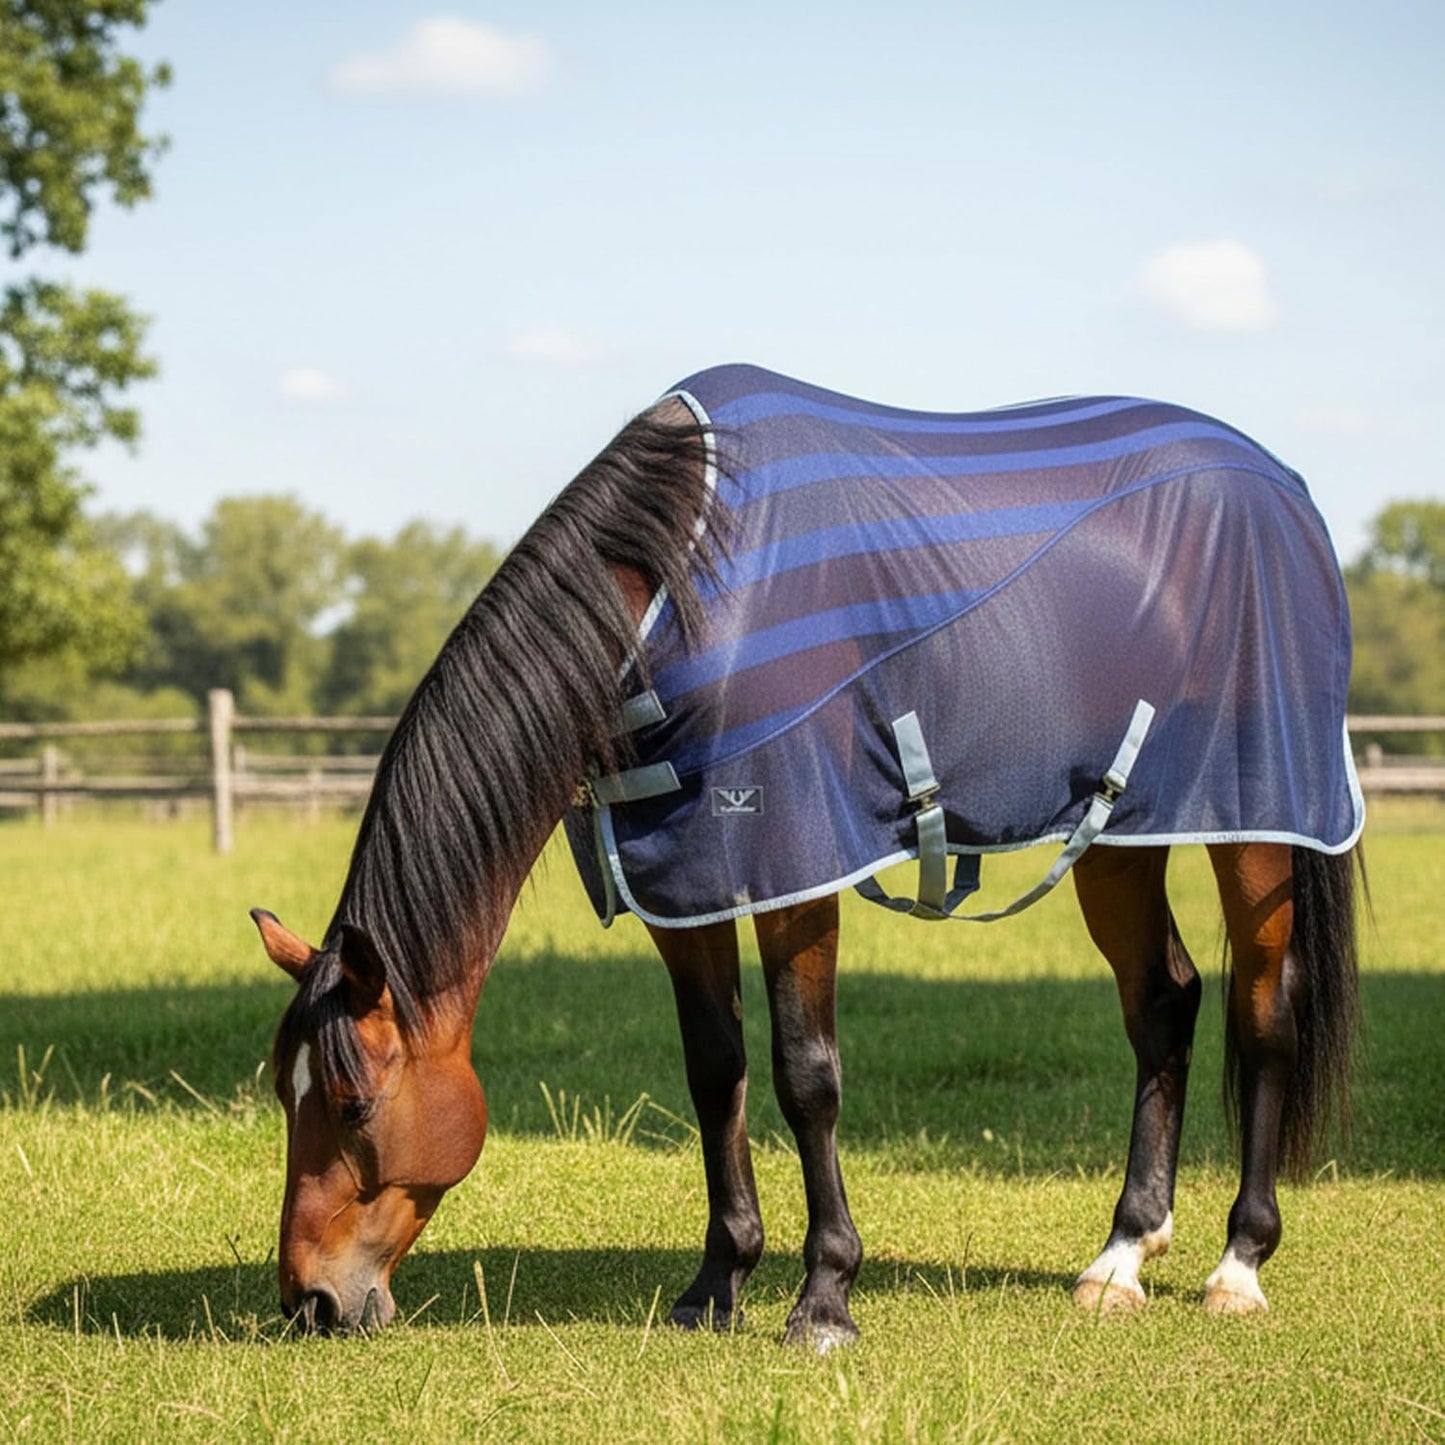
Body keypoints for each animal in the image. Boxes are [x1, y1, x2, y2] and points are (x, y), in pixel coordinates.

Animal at [252, 364, 1363, 1347]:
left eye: (352, 1101)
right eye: (280, 1092)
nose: (311, 1301)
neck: (680, 594)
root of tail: (1284, 485)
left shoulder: (794, 871)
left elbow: (805, 1076)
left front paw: (823, 1296)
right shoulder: (685, 883)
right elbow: (716, 1071)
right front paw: (716, 1282)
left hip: (1260, 825)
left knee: (1263, 1013)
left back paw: (1236, 1265)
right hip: (1119, 832)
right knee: (1162, 1000)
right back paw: (1123, 1254)